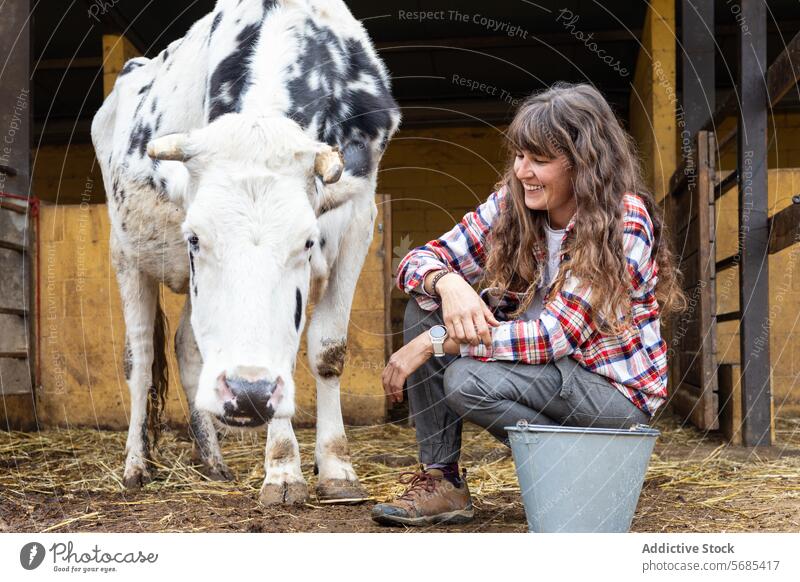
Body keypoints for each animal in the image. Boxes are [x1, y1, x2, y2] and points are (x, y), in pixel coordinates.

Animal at [90, 0, 400, 506]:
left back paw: (213, 461)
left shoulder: (359, 219)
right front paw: (283, 471)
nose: (247, 393)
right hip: (126, 253)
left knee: (187, 345)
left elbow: (328, 349)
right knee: (139, 357)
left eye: (307, 241)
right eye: (194, 237)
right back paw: (136, 465)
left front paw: (336, 467)